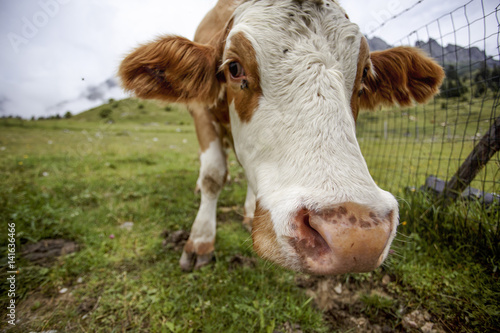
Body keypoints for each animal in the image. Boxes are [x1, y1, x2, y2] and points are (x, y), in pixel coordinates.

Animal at [118, 0, 446, 274]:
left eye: (364, 73)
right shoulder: (200, 109)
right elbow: (213, 174)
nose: (355, 237)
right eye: (234, 67)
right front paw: (200, 241)